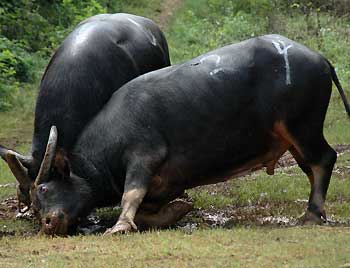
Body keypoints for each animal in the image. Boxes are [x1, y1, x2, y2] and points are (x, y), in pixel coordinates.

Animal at [6, 34, 350, 234]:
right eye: (32, 201)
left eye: (44, 189)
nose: (48, 223)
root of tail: (319, 58)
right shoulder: (167, 184)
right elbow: (148, 211)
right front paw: (178, 211)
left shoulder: (144, 155)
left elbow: (130, 195)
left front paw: (119, 227)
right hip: (293, 136)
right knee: (311, 166)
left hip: (302, 126)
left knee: (323, 160)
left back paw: (311, 215)